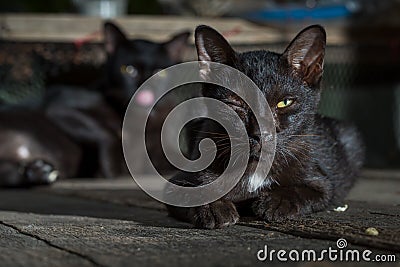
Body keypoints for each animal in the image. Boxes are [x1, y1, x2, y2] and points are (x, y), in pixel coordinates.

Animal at [167, 25, 364, 229]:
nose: (260, 133)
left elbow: (303, 190)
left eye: (284, 102)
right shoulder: (176, 182)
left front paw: (276, 202)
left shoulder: (322, 183)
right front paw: (214, 208)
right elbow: (196, 190)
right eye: (236, 103)